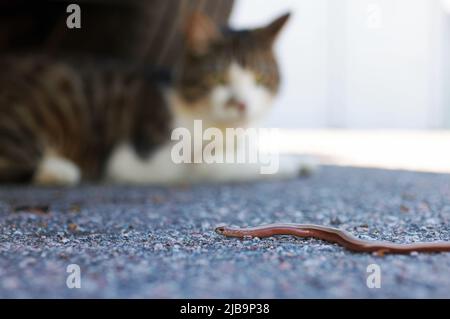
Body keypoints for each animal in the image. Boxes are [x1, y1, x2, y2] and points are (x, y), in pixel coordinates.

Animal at [0, 11, 312, 185]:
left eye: (259, 79)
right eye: (217, 79)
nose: (242, 103)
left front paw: (302, 158)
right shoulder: (147, 160)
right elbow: (215, 164)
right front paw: (287, 164)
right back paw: (59, 170)